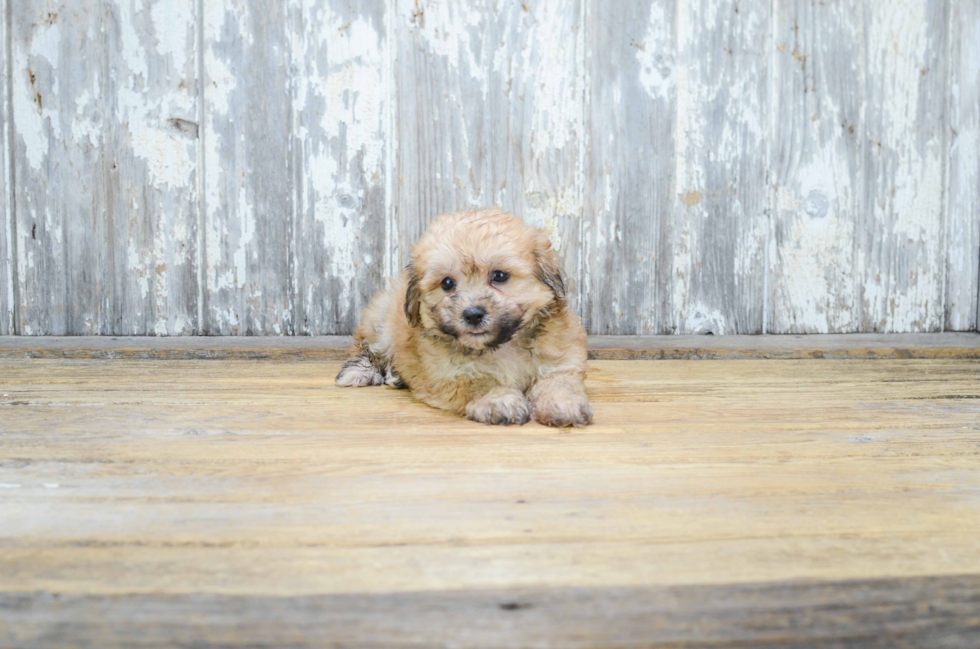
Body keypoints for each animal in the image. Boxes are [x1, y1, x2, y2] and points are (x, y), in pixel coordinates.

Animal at [336, 208, 588, 428]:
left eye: (499, 276)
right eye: (447, 283)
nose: (473, 314)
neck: (501, 346)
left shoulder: (559, 360)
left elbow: (558, 381)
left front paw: (562, 402)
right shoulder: (447, 374)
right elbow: (478, 381)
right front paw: (499, 399)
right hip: (380, 320)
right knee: (368, 351)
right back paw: (362, 372)